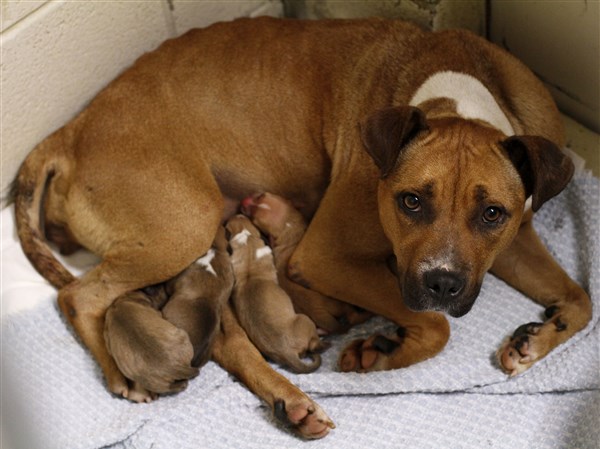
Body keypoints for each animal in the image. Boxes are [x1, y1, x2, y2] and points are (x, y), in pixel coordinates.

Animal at [241, 192, 372, 332]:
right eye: (253, 220)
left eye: (262, 195)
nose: (243, 201)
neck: (289, 229)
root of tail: (319, 312)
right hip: (338, 303)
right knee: (350, 314)